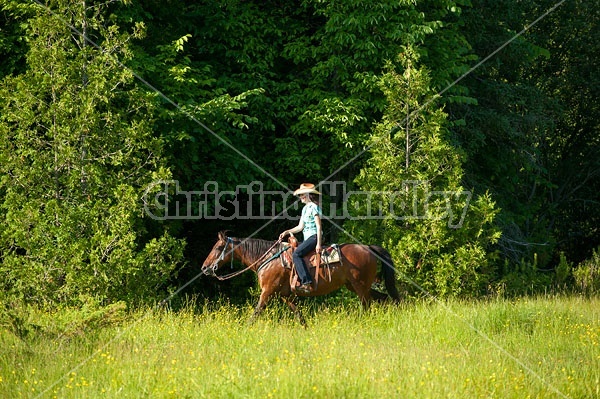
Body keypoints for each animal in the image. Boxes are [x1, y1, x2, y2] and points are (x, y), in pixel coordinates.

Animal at [202, 233, 398, 324]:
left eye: (218, 247)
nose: (204, 268)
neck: (268, 259)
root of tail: (368, 248)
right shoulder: (286, 296)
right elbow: (299, 316)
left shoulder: (267, 292)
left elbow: (255, 313)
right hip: (356, 286)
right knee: (384, 299)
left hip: (360, 286)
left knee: (368, 306)